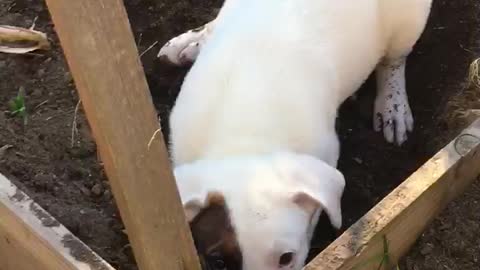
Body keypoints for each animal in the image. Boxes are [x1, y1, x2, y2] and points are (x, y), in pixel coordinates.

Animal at [158, 1, 432, 268]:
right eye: (219, 262)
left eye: (287, 258)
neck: (243, 138)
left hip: (408, 19)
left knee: (394, 59)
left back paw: (393, 105)